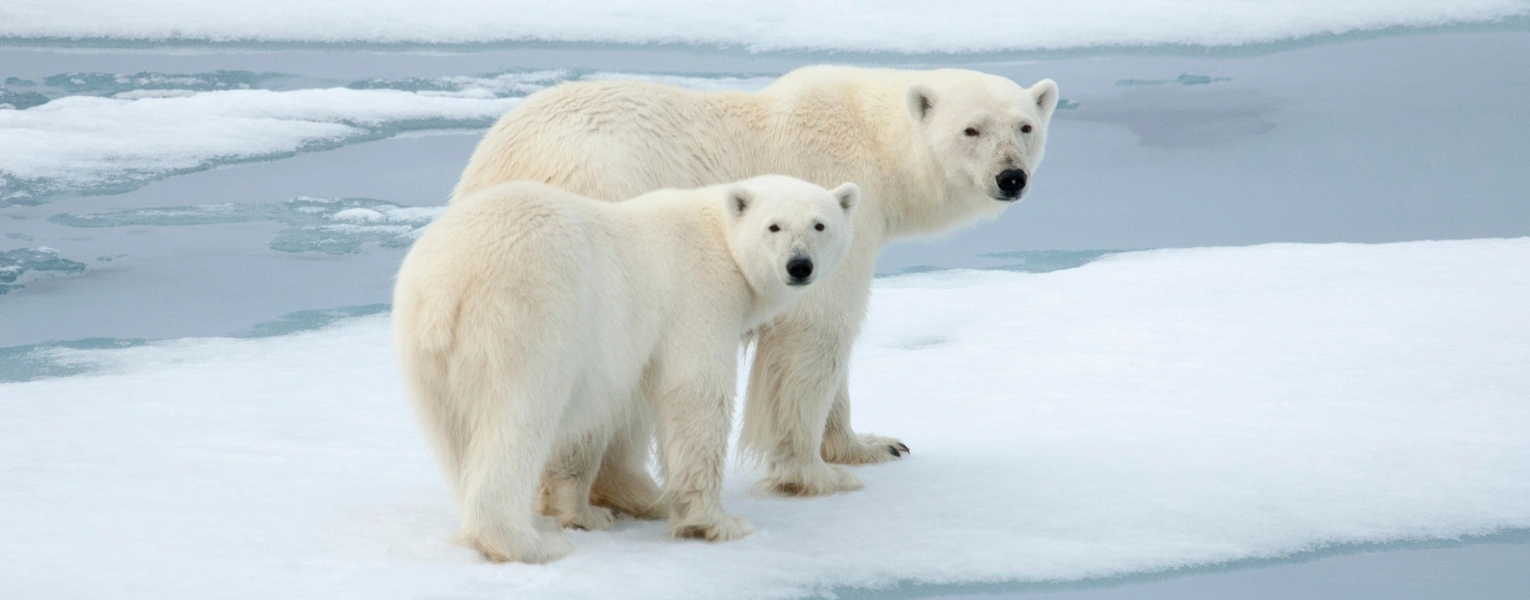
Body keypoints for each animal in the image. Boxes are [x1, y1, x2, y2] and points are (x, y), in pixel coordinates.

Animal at [392, 175, 860, 563]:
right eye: (774, 226)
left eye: (819, 225)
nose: (799, 266)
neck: (718, 235)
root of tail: (446, 286)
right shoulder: (700, 296)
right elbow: (696, 396)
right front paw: (717, 523)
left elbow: (608, 416)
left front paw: (590, 512)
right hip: (523, 318)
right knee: (518, 418)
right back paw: (529, 544)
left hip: (422, 348)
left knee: (454, 437)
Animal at [453, 65, 1059, 501]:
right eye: (971, 129)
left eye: (1025, 126)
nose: (1011, 177)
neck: (873, 142)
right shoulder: (824, 199)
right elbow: (815, 332)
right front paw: (813, 474)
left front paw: (872, 444)